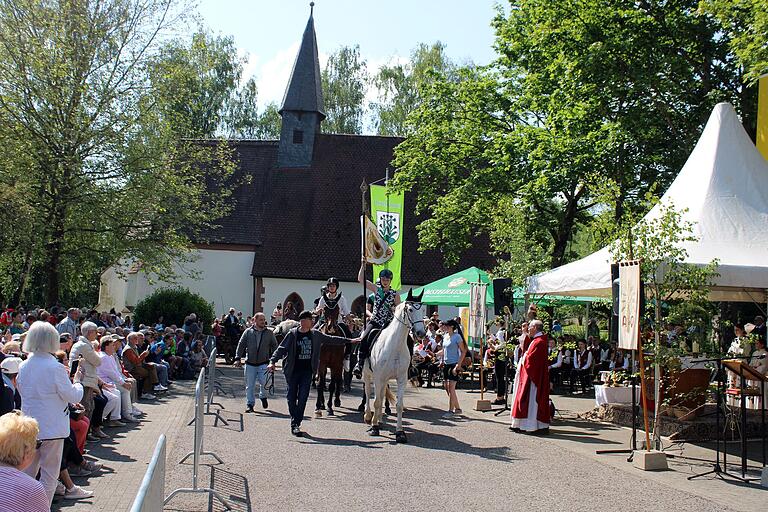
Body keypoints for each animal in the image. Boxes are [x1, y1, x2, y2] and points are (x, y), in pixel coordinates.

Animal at [362, 292, 426, 444]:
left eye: (423, 310)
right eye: (410, 309)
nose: (421, 333)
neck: (394, 346)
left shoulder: (401, 378)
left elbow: (398, 405)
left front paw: (400, 433)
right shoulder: (378, 377)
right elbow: (376, 402)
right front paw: (374, 428)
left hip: (384, 379)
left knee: (381, 395)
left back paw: (379, 420)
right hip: (367, 375)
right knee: (368, 392)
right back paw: (368, 417)